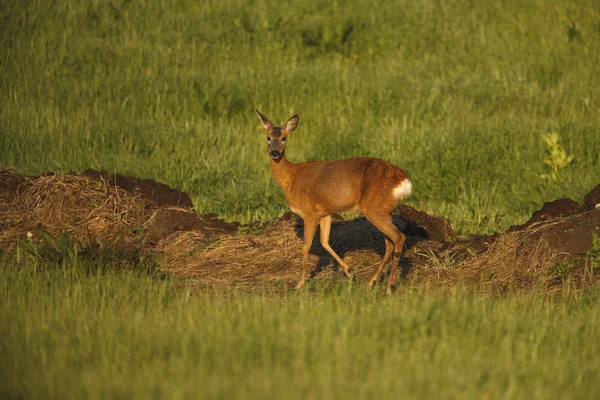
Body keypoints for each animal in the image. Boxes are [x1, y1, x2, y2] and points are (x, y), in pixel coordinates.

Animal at [255, 109, 410, 294]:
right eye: (268, 137)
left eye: (284, 138)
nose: (275, 153)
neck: (292, 177)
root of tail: (404, 181)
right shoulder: (325, 212)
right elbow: (324, 241)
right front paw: (350, 272)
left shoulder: (310, 212)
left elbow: (306, 245)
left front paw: (299, 283)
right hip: (384, 210)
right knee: (390, 243)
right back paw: (371, 281)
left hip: (374, 208)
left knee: (398, 237)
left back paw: (388, 287)